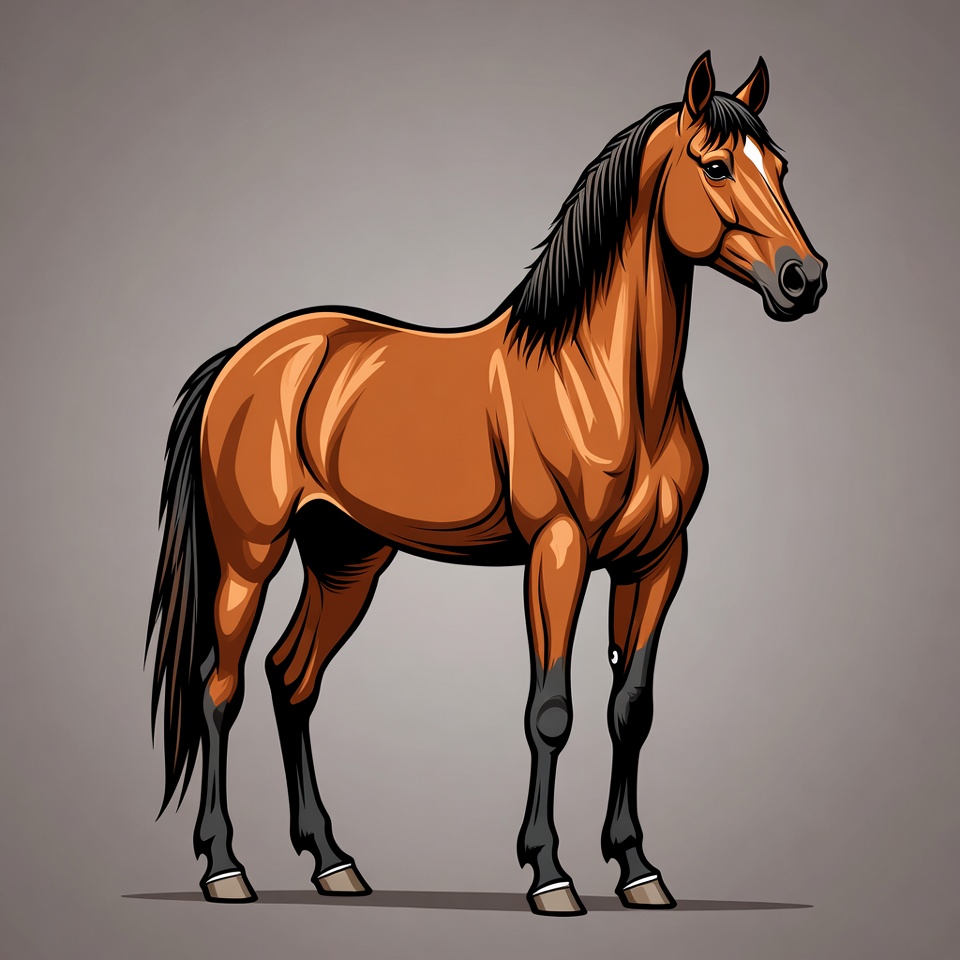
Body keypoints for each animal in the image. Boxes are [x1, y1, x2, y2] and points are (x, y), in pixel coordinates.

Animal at [147, 51, 827, 916]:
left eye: (780, 167)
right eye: (714, 166)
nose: (805, 278)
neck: (607, 383)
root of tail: (242, 358)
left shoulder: (658, 562)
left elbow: (631, 710)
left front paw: (639, 869)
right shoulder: (557, 553)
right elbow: (551, 711)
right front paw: (550, 875)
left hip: (346, 560)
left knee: (290, 678)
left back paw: (334, 862)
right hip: (250, 557)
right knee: (219, 687)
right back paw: (224, 869)